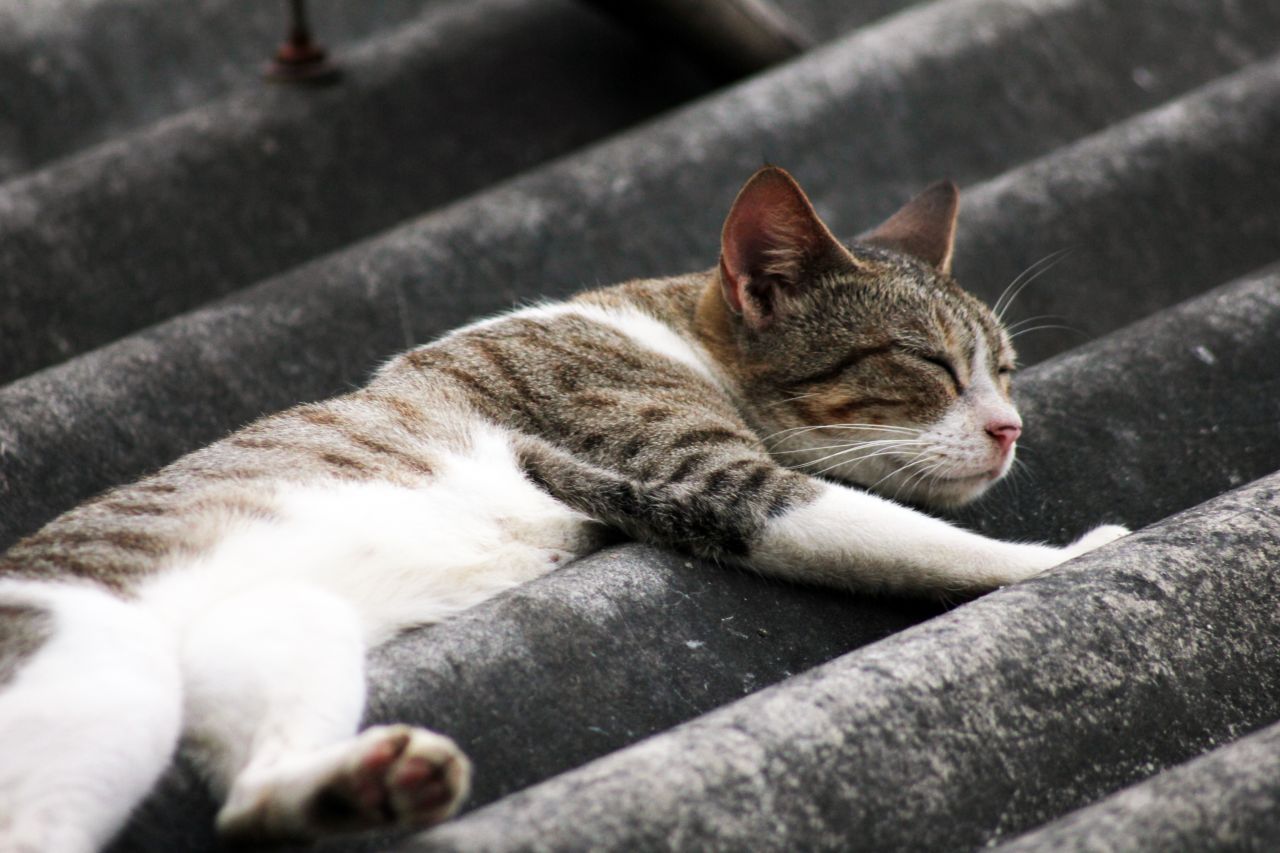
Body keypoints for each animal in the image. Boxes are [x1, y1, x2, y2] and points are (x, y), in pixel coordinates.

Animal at [0, 167, 1121, 850]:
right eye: (927, 366)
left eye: (1008, 371)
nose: (1009, 428)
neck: (668, 333)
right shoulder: (711, 476)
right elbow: (918, 537)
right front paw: (1068, 553)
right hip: (102, 667)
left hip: (268, 624)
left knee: (245, 804)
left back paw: (366, 788)